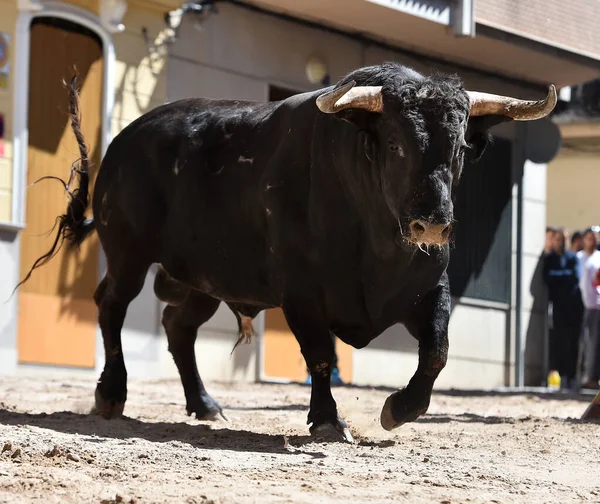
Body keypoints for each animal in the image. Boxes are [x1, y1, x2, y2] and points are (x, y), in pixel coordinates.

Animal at [19, 62, 556, 440]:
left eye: (460, 149)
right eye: (396, 145)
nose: (433, 224)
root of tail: (127, 138)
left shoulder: (428, 289)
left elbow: (437, 351)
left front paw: (399, 408)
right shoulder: (301, 292)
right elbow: (318, 354)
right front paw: (327, 421)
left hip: (205, 278)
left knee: (178, 326)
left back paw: (205, 404)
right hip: (128, 252)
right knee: (112, 306)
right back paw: (112, 394)